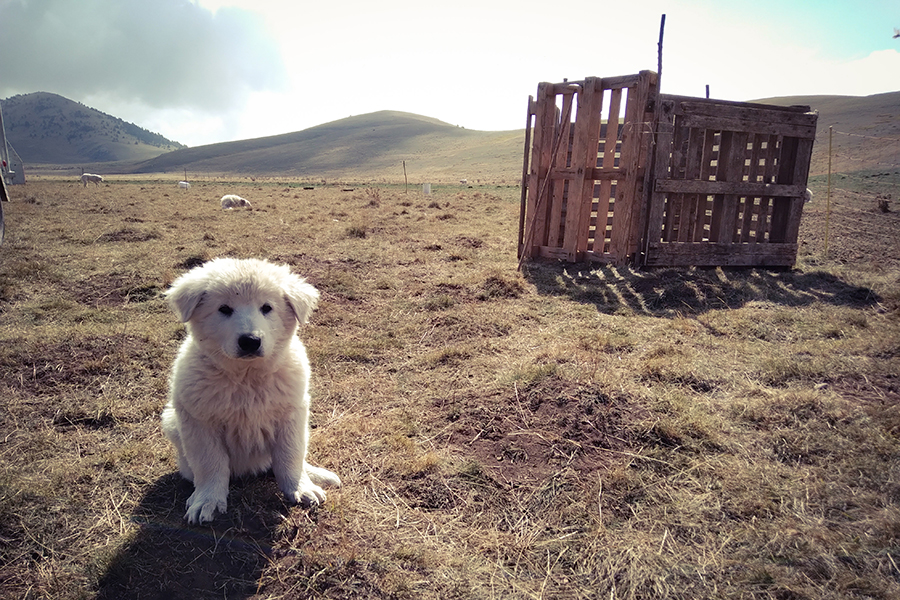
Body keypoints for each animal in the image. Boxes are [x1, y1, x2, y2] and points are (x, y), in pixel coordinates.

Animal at [160, 258, 340, 524]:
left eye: (267, 308)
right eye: (224, 309)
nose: (250, 341)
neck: (247, 377)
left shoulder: (291, 415)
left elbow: (290, 455)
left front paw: (300, 487)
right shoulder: (199, 421)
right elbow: (210, 464)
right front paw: (207, 500)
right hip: (172, 421)